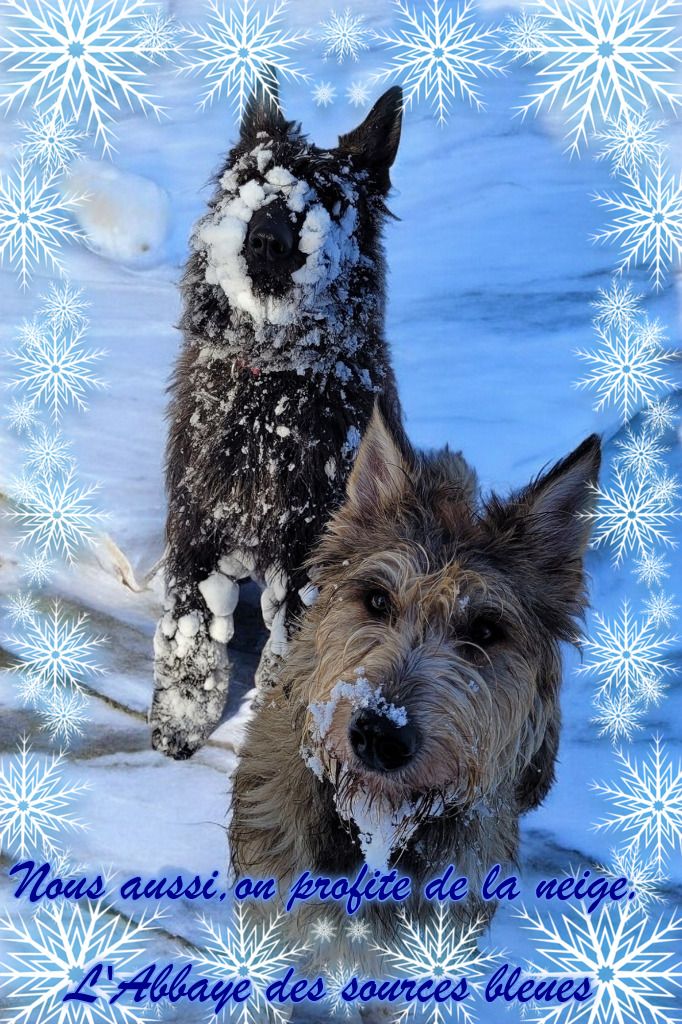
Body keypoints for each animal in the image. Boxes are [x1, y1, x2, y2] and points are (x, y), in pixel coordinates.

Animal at [150, 83, 403, 757]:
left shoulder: (312, 547)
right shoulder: (197, 515)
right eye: (249, 180)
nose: (264, 240)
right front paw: (181, 718)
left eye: (329, 199)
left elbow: (292, 646)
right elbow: (189, 624)